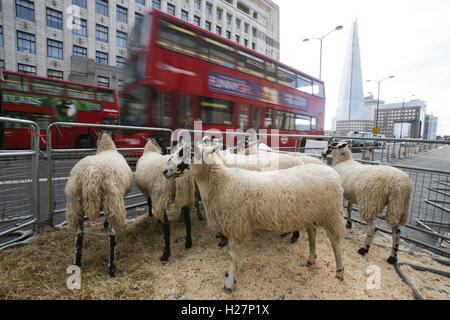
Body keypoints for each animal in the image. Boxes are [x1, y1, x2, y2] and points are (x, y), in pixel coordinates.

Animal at [65, 133, 132, 278]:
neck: (107, 148)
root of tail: (92, 173)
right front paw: (105, 224)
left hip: (76, 204)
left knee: (79, 235)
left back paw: (77, 262)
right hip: (112, 199)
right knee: (112, 236)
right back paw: (112, 268)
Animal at [163, 138, 346, 292]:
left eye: (185, 152)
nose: (164, 171)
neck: (223, 183)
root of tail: (331, 171)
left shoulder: (236, 226)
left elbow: (233, 256)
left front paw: (229, 283)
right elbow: (236, 257)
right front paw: (232, 276)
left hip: (332, 215)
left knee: (335, 243)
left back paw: (339, 271)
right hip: (309, 215)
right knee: (312, 235)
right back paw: (311, 259)